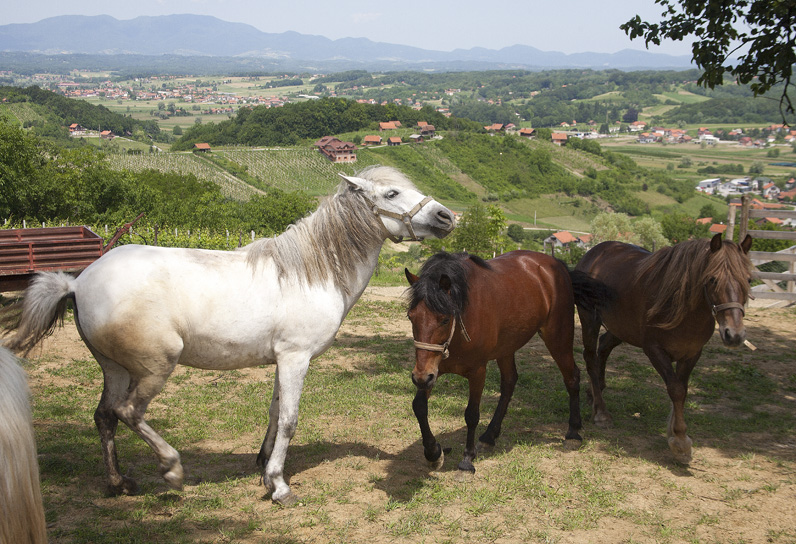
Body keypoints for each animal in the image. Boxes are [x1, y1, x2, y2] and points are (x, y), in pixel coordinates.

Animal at [1, 165, 455, 506]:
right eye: (392, 192)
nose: (446, 217)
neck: (311, 272)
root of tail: (78, 282)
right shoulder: (296, 358)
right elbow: (290, 419)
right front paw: (280, 486)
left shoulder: (282, 360)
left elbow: (274, 412)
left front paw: (265, 469)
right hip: (155, 366)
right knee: (129, 412)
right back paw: (172, 470)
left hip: (113, 367)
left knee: (104, 416)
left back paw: (118, 484)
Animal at [405, 250, 602, 473]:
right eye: (411, 317)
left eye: (445, 319)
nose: (419, 378)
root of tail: (557, 265)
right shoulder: (433, 370)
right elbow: (419, 406)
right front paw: (433, 452)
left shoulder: (477, 372)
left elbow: (471, 414)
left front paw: (467, 460)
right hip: (506, 348)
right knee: (509, 382)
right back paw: (489, 436)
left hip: (558, 337)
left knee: (572, 377)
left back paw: (573, 432)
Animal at [574, 233, 753, 464]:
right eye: (712, 279)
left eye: (748, 280)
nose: (734, 334)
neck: (683, 308)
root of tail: (593, 253)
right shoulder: (654, 350)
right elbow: (675, 389)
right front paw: (680, 441)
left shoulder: (692, 353)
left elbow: (682, 389)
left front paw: (674, 431)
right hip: (590, 318)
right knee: (590, 357)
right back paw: (601, 412)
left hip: (621, 328)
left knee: (603, 348)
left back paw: (594, 395)